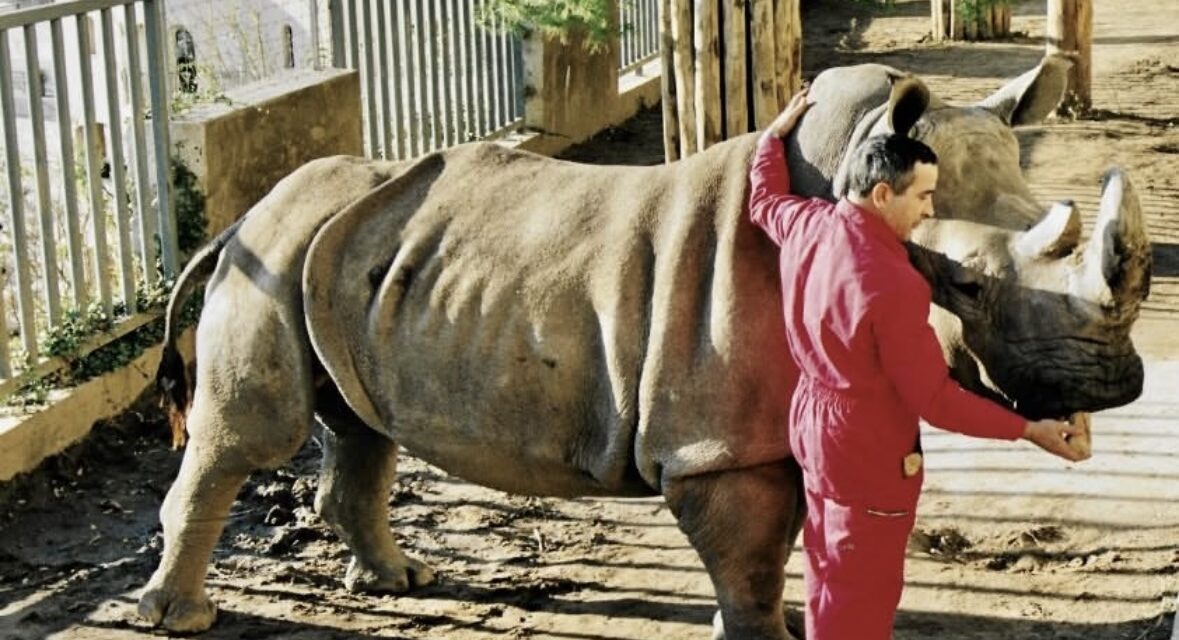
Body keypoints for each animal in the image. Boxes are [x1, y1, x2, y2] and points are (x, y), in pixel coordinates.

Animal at [138, 55, 1149, 639]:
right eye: (968, 285)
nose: (1115, 387)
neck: (844, 195)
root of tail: (239, 220)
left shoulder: (757, 429)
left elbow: (776, 548)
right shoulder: (711, 446)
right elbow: (750, 557)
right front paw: (763, 635)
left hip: (338, 258)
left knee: (358, 424)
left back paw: (399, 581)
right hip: (273, 257)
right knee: (250, 436)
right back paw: (179, 619)